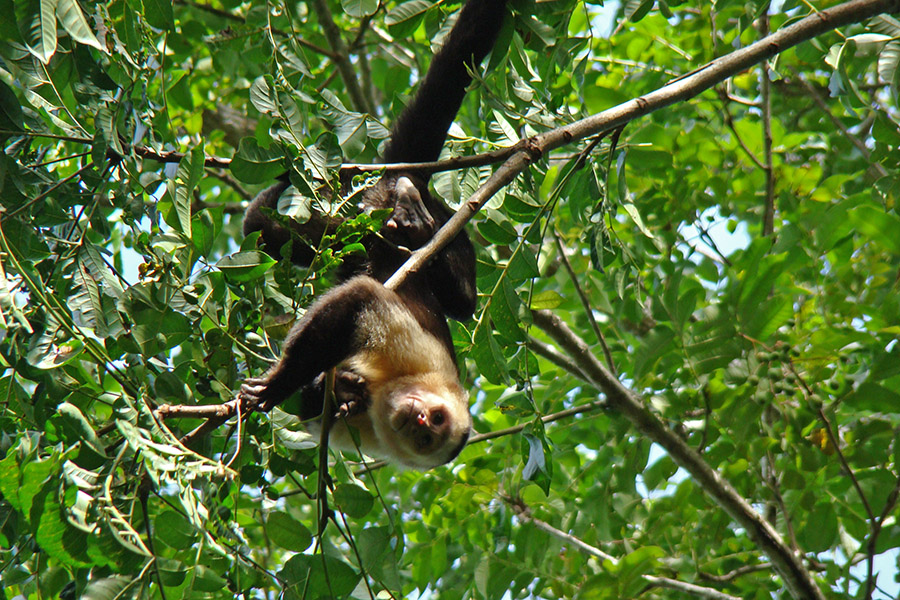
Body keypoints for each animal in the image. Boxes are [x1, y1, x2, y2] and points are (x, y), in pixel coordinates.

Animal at [239, 0, 508, 469]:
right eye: (436, 418)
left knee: (264, 233)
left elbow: (313, 405)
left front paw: (339, 389)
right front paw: (278, 383)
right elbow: (359, 300)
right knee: (462, 300)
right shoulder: (419, 356)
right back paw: (411, 214)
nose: (419, 419)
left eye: (429, 435)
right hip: (366, 211)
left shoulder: (363, 431)